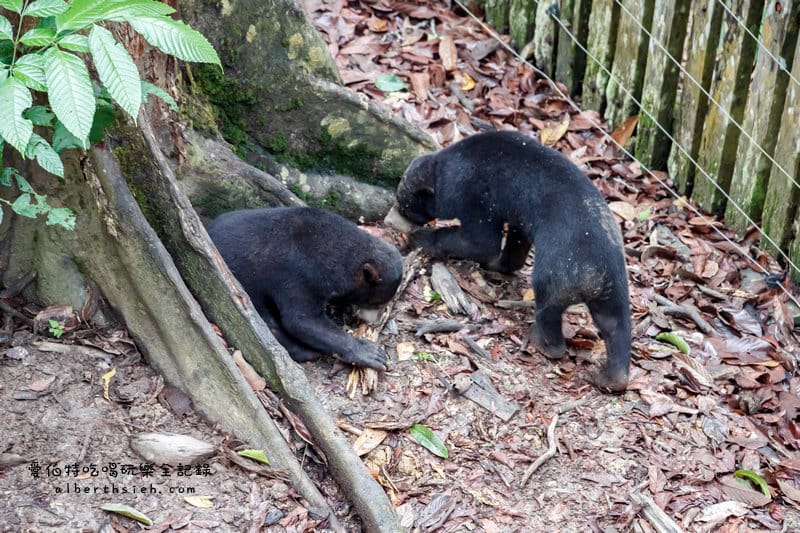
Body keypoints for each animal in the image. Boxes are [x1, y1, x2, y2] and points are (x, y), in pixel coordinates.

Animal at [207, 207, 403, 370]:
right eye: (376, 303)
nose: (374, 322)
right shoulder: (299, 276)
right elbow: (302, 319)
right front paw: (373, 353)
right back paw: (306, 351)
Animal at [390, 130, 631, 392]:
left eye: (405, 203)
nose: (392, 216)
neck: (444, 167)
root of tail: (593, 275)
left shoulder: (475, 195)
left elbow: (480, 242)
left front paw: (420, 237)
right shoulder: (517, 216)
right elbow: (514, 244)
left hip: (556, 273)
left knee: (548, 309)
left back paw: (543, 343)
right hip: (614, 289)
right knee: (615, 324)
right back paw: (611, 378)